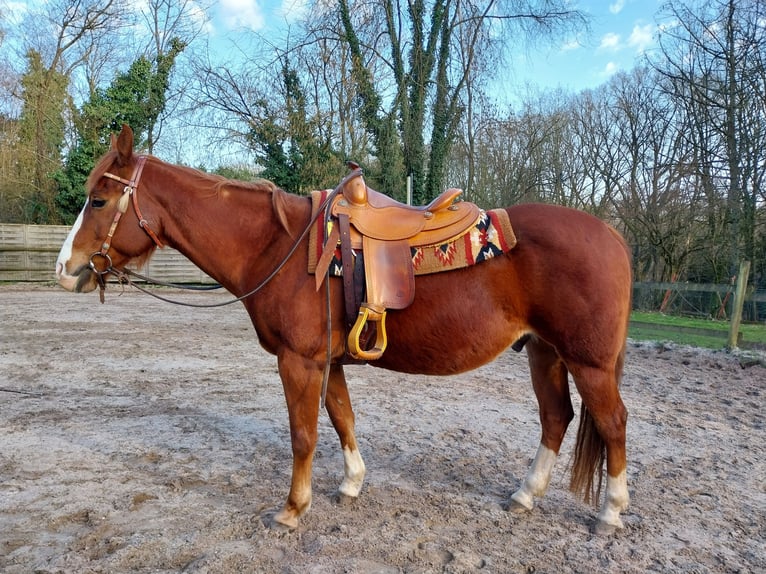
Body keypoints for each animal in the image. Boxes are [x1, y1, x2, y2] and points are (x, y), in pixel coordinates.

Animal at [55, 125, 632, 535]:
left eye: (99, 200)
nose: (65, 268)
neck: (278, 248)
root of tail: (612, 235)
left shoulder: (298, 361)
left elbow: (304, 434)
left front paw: (292, 509)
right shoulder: (327, 361)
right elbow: (342, 419)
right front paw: (351, 484)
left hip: (589, 362)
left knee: (613, 423)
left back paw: (610, 513)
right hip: (544, 352)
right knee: (556, 418)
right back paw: (525, 495)